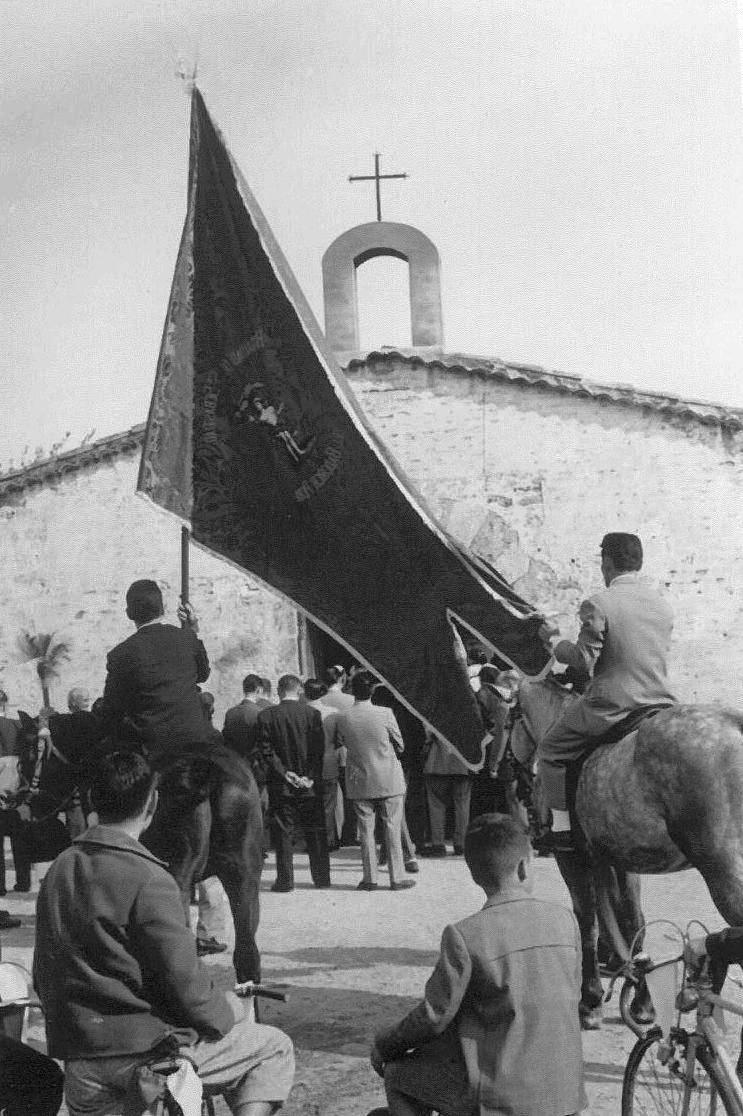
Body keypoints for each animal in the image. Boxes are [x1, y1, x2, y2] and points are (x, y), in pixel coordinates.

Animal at [14, 709, 264, 982]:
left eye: (27, 756)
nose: (25, 803)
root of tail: (207, 771)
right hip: (244, 879)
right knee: (247, 953)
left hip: (176, 877)